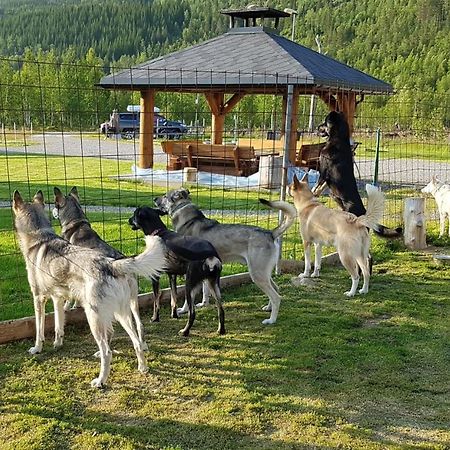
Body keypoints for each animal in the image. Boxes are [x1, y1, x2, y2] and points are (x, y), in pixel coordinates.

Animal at [53, 186, 146, 348]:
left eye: (55, 203)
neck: (77, 223)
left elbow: (70, 297)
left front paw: (68, 307)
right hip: (133, 301)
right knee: (139, 324)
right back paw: (143, 345)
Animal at [128, 206, 223, 336]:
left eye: (134, 214)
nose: (128, 220)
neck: (158, 232)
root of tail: (210, 254)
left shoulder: (155, 276)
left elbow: (156, 301)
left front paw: (155, 318)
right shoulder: (172, 275)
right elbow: (174, 297)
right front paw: (174, 315)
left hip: (189, 286)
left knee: (192, 313)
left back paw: (185, 331)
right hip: (213, 284)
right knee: (221, 309)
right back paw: (221, 330)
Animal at [153, 188, 298, 326]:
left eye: (165, 195)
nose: (154, 199)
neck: (189, 220)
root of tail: (270, 233)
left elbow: (189, 296)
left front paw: (183, 310)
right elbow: (205, 290)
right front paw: (203, 304)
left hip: (257, 274)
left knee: (276, 297)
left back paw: (271, 320)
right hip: (263, 273)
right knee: (276, 289)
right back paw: (268, 308)